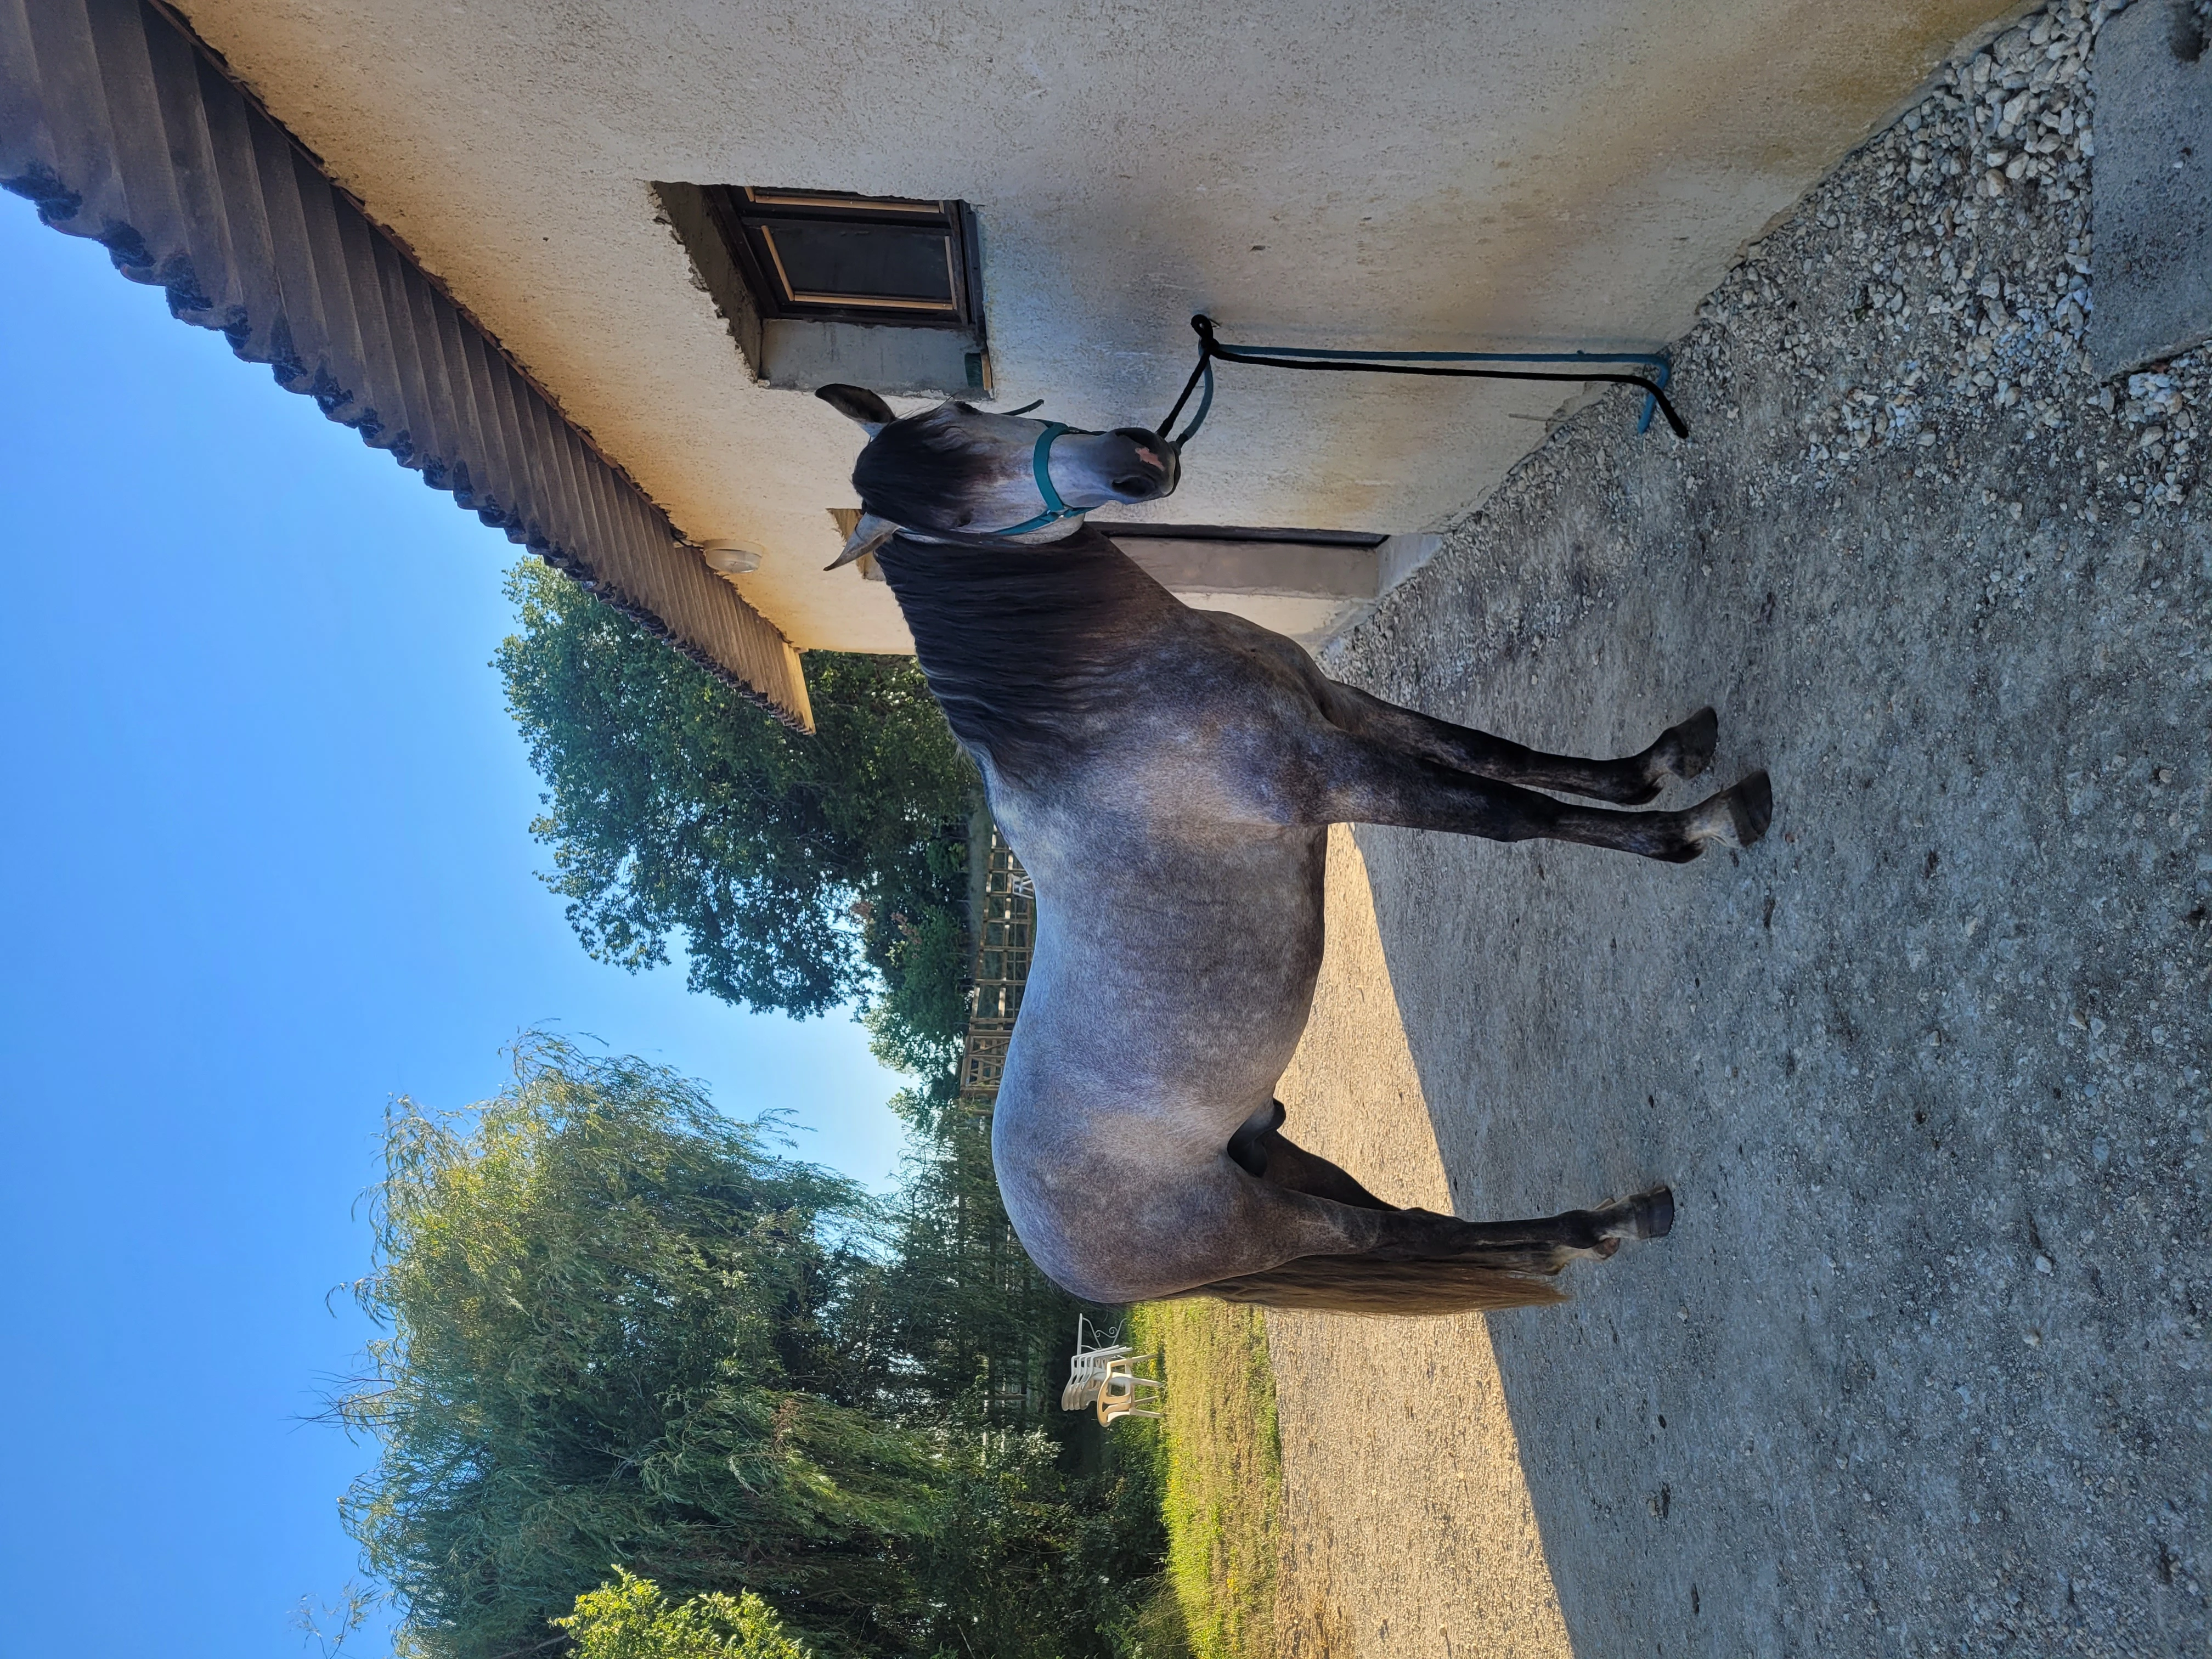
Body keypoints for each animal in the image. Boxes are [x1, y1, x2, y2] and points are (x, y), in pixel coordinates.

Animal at [815, 385, 1772, 1313]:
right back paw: (1604, 1226)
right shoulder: (1336, 776)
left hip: (1279, 1157)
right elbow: (1509, 814)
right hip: (1276, 1223)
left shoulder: (1339, 710)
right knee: (1396, 1235)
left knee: (1425, 1229)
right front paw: (1695, 825)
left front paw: (1661, 763)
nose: (1136, 460)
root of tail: (1051, 1253)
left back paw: (1603, 1227)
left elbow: (1493, 753)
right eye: (957, 519)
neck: (1101, 704)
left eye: (961, 412)